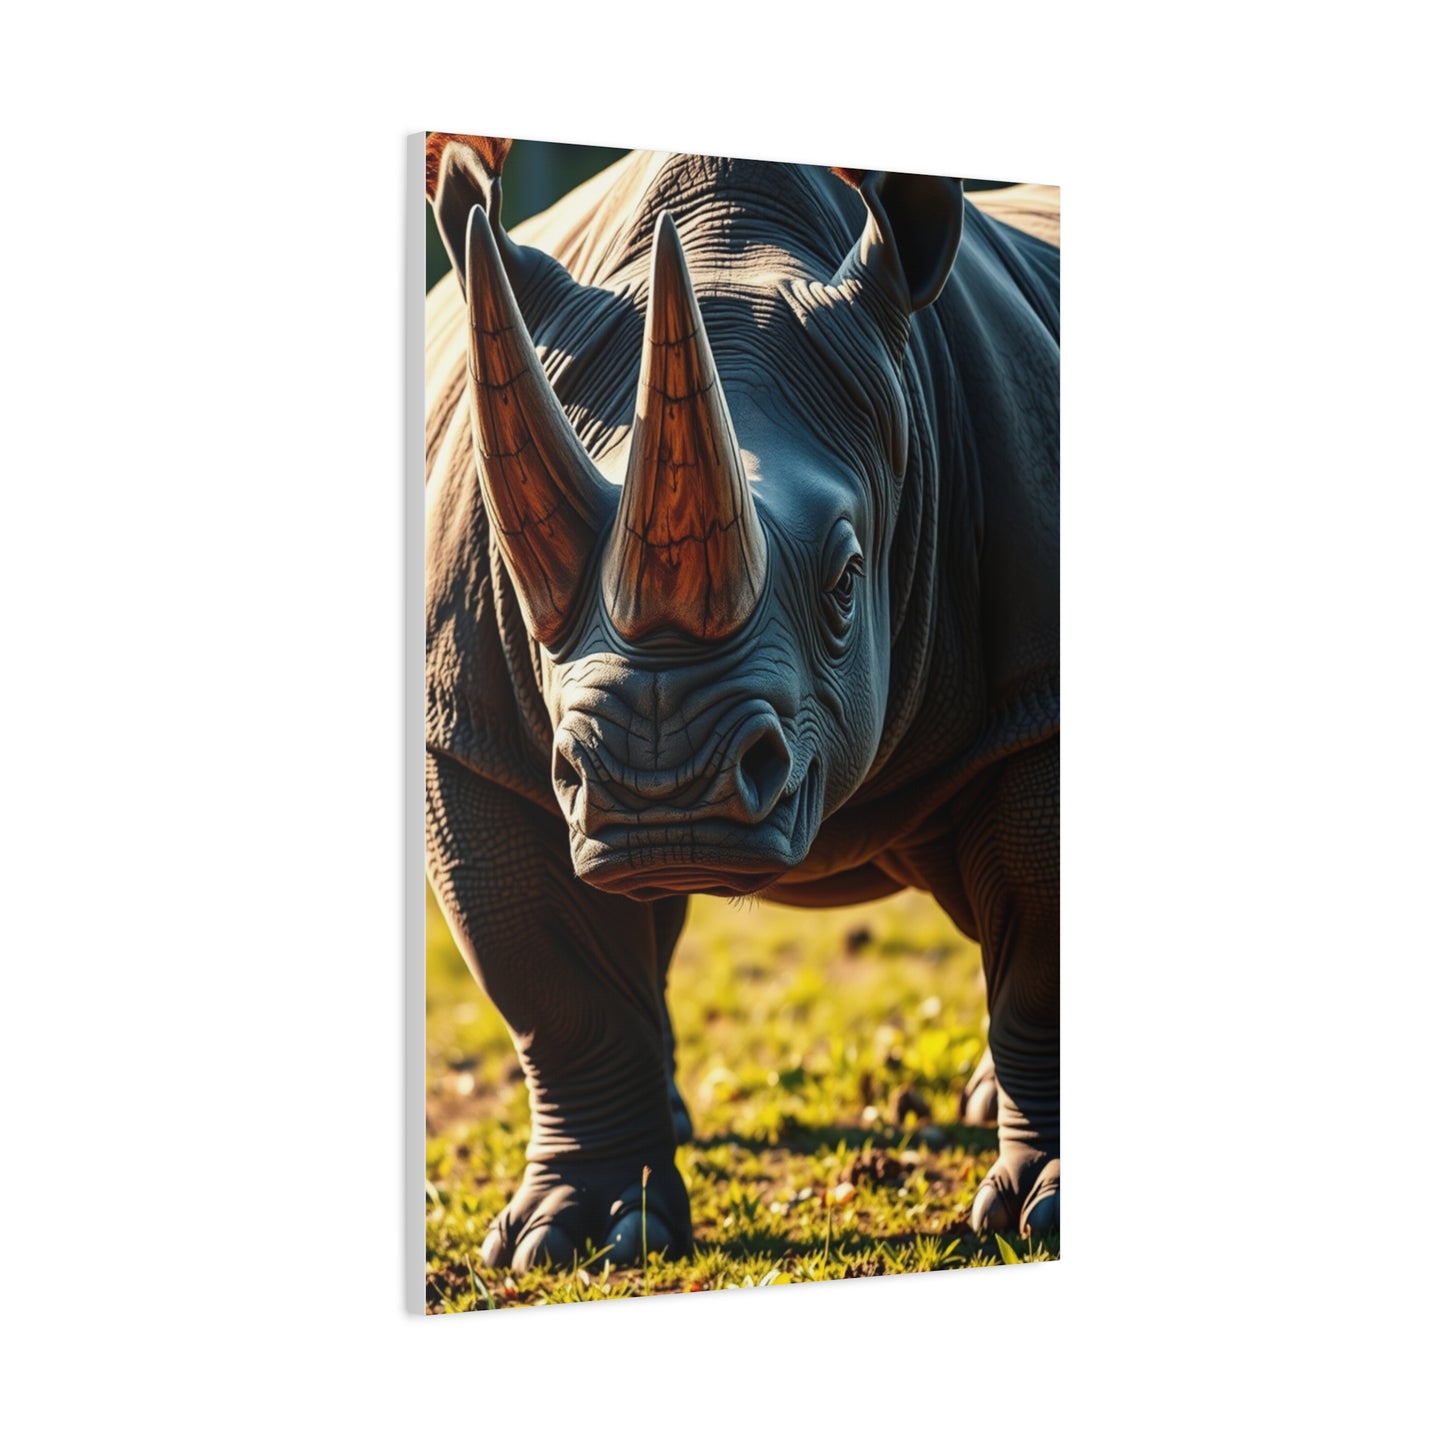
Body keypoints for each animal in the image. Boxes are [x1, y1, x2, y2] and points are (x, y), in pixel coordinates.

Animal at [423, 135, 1059, 1270]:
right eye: (525, 578)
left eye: (848, 578)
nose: (658, 791)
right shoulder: (472, 733)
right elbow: (553, 977)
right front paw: (575, 1236)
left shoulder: (1038, 693)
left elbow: (1040, 939)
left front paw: (1047, 1209)